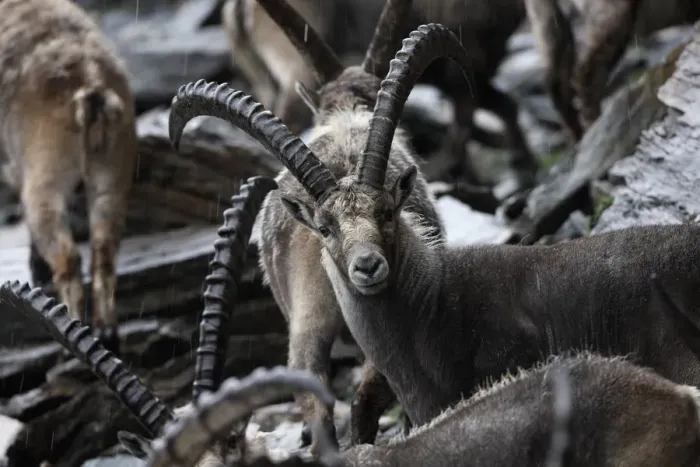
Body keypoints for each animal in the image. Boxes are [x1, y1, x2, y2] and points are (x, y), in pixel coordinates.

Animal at [0, 0, 138, 353]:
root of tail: (91, 87)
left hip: (48, 174)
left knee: (66, 254)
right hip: (111, 173)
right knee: (104, 250)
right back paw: (107, 333)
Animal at [169, 0, 447, 452]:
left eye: (386, 213)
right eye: (327, 229)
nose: (366, 266)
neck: (348, 118)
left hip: (304, 319)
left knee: (314, 388)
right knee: (367, 394)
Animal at [525, 0, 700, 140]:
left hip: (546, 20)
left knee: (557, 83)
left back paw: (579, 138)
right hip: (611, 14)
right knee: (585, 74)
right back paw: (593, 130)